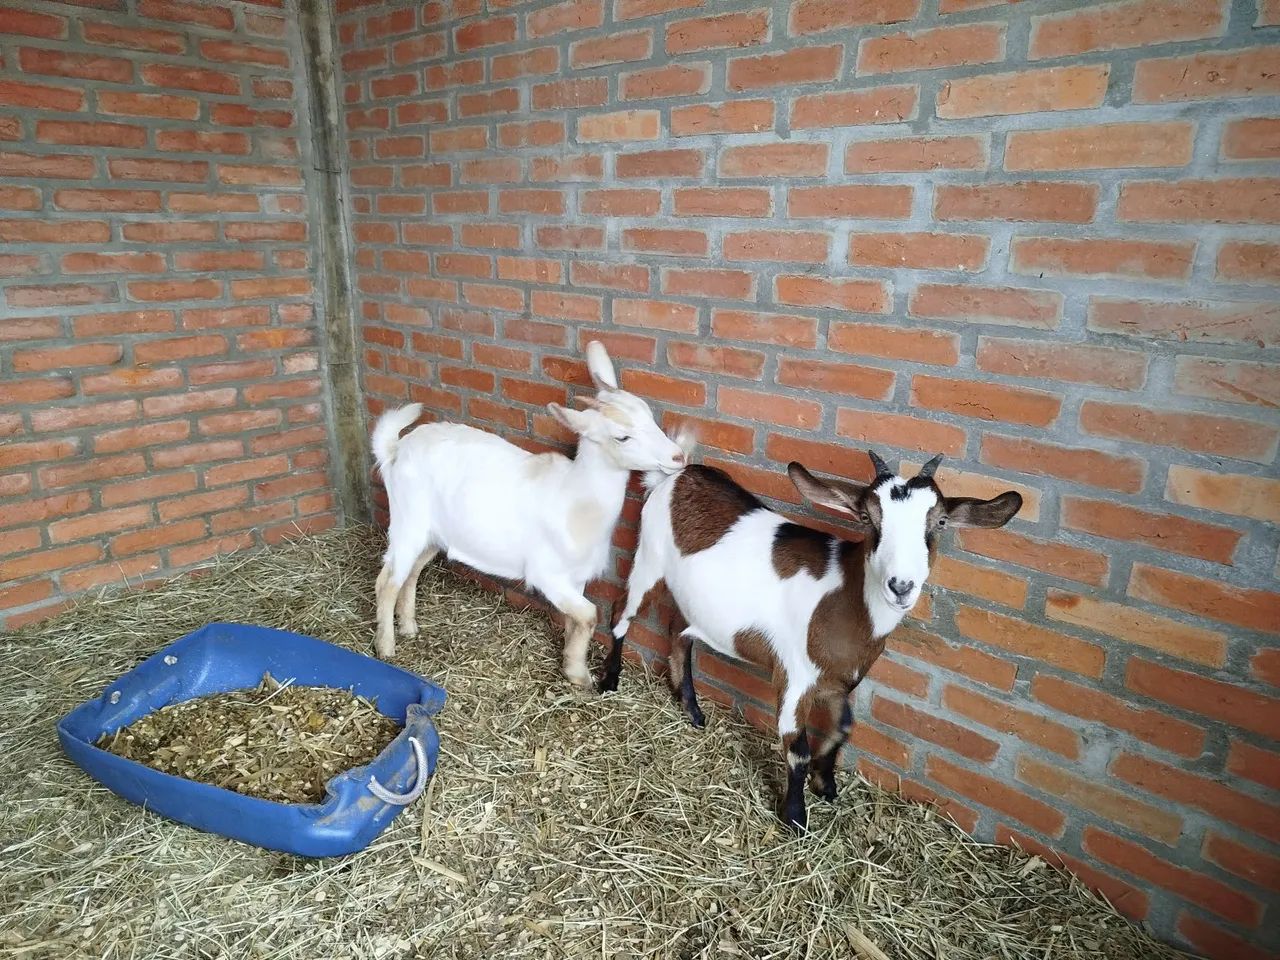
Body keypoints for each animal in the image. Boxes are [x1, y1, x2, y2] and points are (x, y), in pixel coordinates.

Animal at [370, 341, 687, 686]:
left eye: (649, 415)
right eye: (622, 436)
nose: (678, 456)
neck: (575, 498)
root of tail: (395, 450)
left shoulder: (575, 579)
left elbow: (576, 621)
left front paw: (571, 663)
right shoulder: (546, 574)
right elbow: (591, 615)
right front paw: (580, 675)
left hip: (432, 534)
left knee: (411, 573)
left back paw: (409, 628)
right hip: (407, 522)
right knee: (387, 581)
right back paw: (386, 647)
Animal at [599, 448, 1022, 829]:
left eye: (941, 522)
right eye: (867, 518)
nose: (900, 586)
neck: (847, 600)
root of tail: (675, 476)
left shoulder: (837, 683)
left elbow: (842, 729)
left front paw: (826, 784)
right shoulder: (793, 676)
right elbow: (797, 749)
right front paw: (794, 817)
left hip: (696, 605)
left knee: (678, 630)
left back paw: (692, 709)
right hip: (648, 560)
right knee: (622, 610)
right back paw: (609, 681)